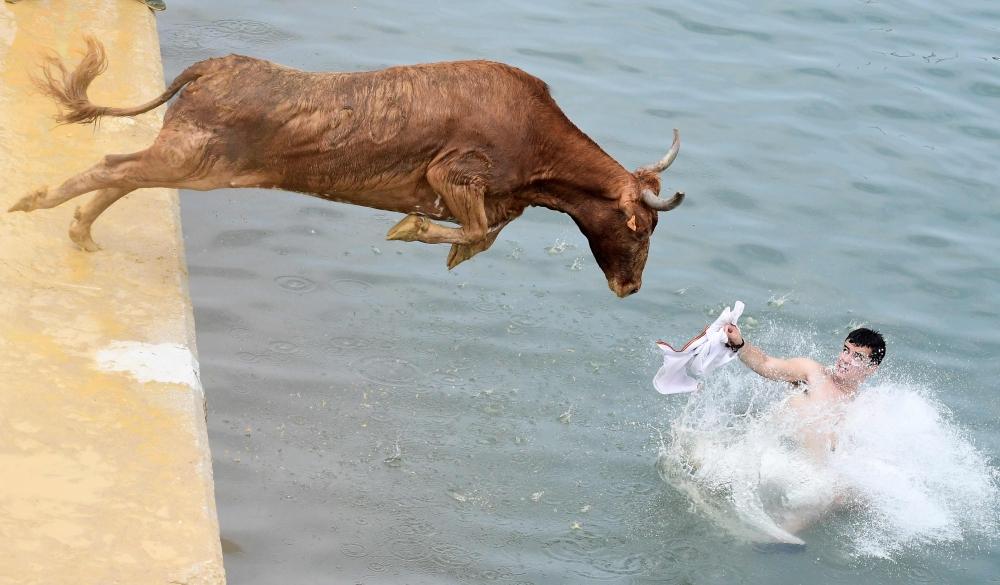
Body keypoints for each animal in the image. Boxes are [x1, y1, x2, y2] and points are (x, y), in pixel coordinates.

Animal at [7, 37, 684, 296]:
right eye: (641, 228)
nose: (631, 287)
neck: (541, 159)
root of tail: (210, 67)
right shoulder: (455, 177)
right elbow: (475, 230)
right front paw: (410, 228)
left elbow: (483, 235)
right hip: (191, 155)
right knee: (114, 164)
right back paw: (38, 204)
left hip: (191, 162)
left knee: (124, 172)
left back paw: (78, 229)